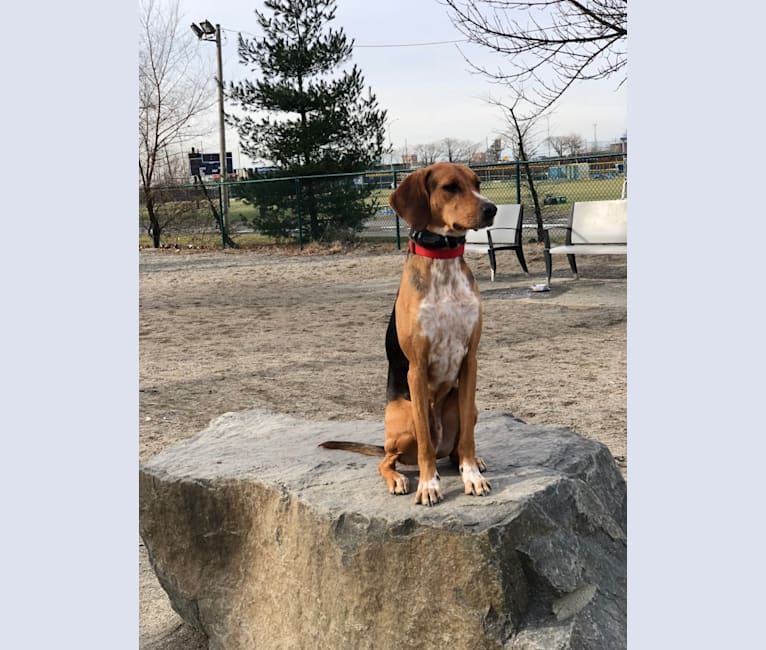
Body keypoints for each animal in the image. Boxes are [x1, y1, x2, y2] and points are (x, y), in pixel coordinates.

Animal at [322, 163, 498, 506]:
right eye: (450, 187)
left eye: (477, 183)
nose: (492, 209)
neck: (443, 263)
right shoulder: (417, 366)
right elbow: (426, 448)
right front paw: (428, 485)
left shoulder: (470, 360)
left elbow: (468, 441)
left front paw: (472, 475)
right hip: (404, 422)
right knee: (388, 459)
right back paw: (399, 478)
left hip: (468, 408)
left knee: (456, 447)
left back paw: (468, 461)